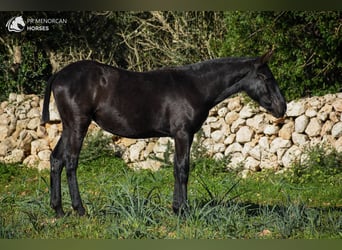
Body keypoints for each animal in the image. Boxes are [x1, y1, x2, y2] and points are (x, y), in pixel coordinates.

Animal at [41, 49, 286, 217]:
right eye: (265, 77)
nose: (282, 107)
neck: (195, 87)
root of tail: (59, 75)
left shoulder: (182, 135)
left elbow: (177, 169)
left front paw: (176, 208)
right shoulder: (183, 134)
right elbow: (183, 169)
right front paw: (183, 210)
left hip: (69, 127)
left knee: (56, 160)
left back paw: (58, 210)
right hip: (78, 125)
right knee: (71, 162)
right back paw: (80, 209)